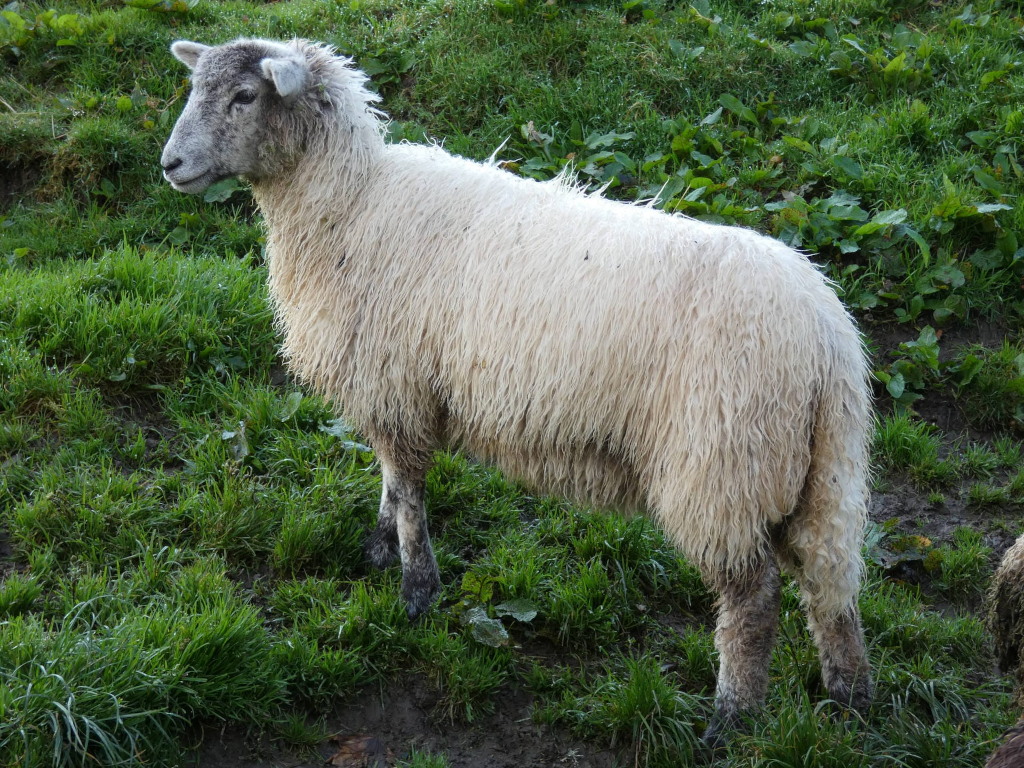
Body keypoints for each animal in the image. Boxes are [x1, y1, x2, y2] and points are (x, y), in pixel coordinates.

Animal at [163, 37, 876, 745]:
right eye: (197, 87)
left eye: (244, 96)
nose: (169, 164)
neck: (351, 203)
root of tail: (827, 333)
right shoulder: (395, 388)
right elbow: (393, 480)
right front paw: (379, 547)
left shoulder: (398, 381)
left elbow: (410, 488)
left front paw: (416, 589)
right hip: (821, 471)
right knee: (828, 581)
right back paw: (848, 697)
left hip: (721, 464)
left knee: (753, 600)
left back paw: (732, 718)